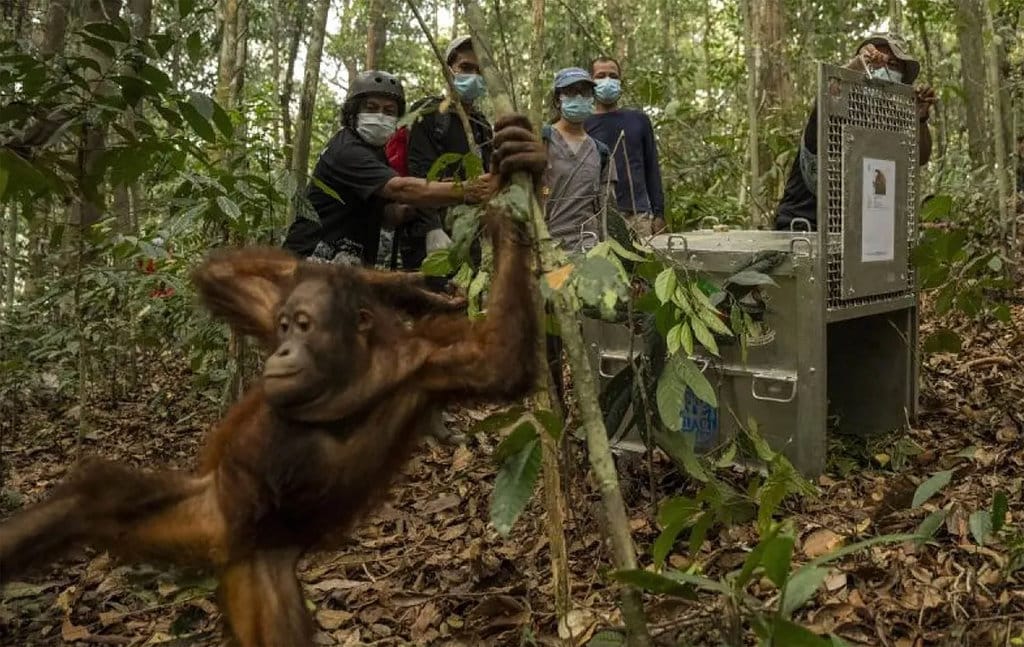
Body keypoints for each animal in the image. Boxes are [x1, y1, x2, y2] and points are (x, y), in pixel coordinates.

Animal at [0, 114, 546, 647]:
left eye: (303, 326)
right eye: (283, 326)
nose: (283, 351)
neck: (349, 372)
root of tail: (224, 548)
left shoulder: (429, 364)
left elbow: (497, 360)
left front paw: (508, 188)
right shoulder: (267, 304)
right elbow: (221, 275)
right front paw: (411, 283)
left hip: (247, 558)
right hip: (204, 509)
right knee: (97, 501)